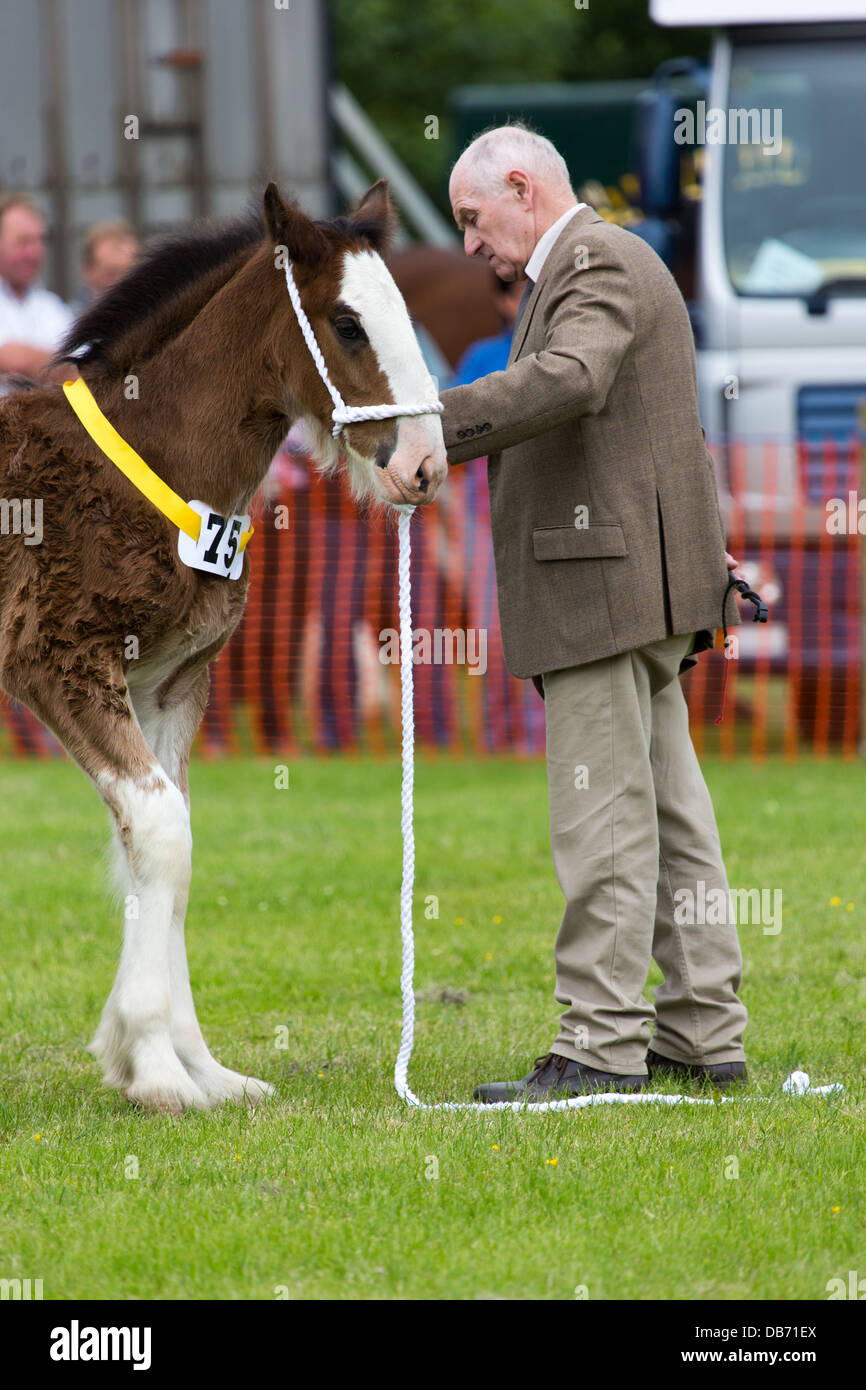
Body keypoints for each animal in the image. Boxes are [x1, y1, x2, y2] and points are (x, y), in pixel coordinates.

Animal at [0, 179, 447, 1112]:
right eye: (348, 323)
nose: (426, 465)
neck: (152, 466)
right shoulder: (58, 661)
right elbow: (162, 833)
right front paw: (157, 1068)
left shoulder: (169, 683)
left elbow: (161, 852)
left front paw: (193, 1064)